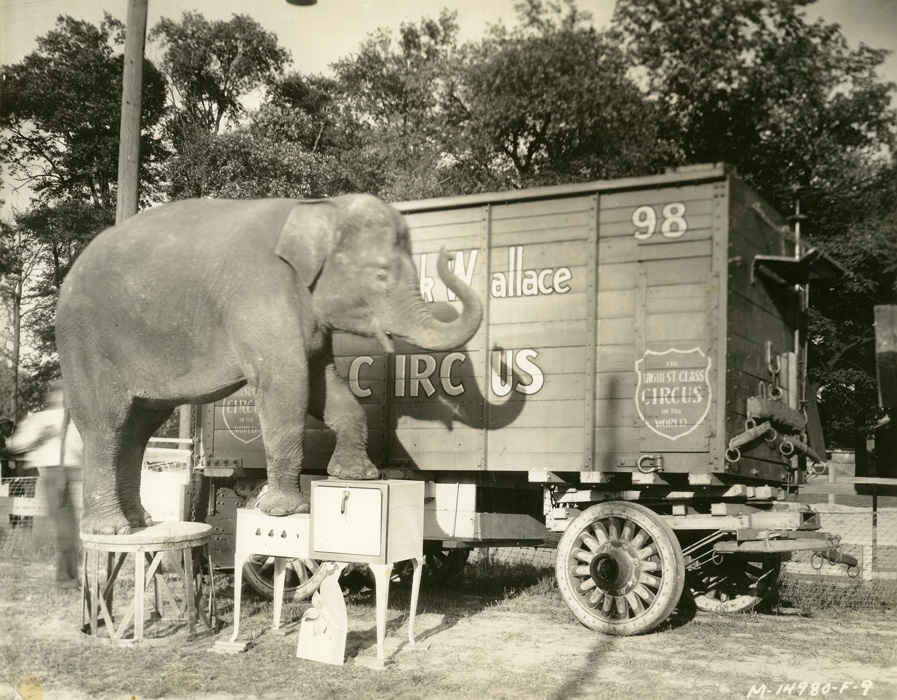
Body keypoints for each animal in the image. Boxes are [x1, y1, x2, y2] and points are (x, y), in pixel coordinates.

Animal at [56, 194, 483, 535]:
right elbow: (287, 386)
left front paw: (356, 476)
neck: (318, 210)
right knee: (107, 425)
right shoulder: (261, 297)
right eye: (380, 274)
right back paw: (111, 530)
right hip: (85, 345)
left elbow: (323, 385)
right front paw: (286, 511)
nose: (448, 253)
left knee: (138, 428)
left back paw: (139, 522)